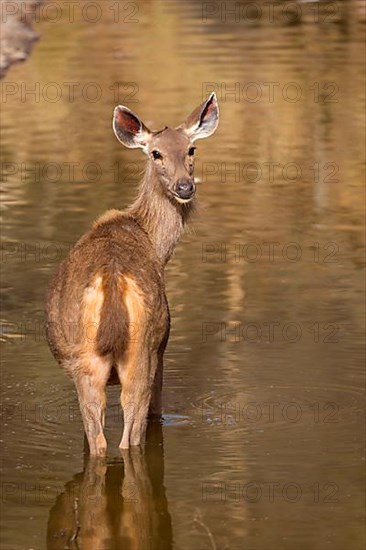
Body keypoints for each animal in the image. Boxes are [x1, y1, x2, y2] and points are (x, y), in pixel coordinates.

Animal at [44, 94, 219, 458]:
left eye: (191, 149)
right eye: (156, 153)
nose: (185, 186)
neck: (153, 240)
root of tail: (112, 283)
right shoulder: (163, 349)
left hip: (93, 362)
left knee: (101, 436)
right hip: (146, 349)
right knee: (129, 433)